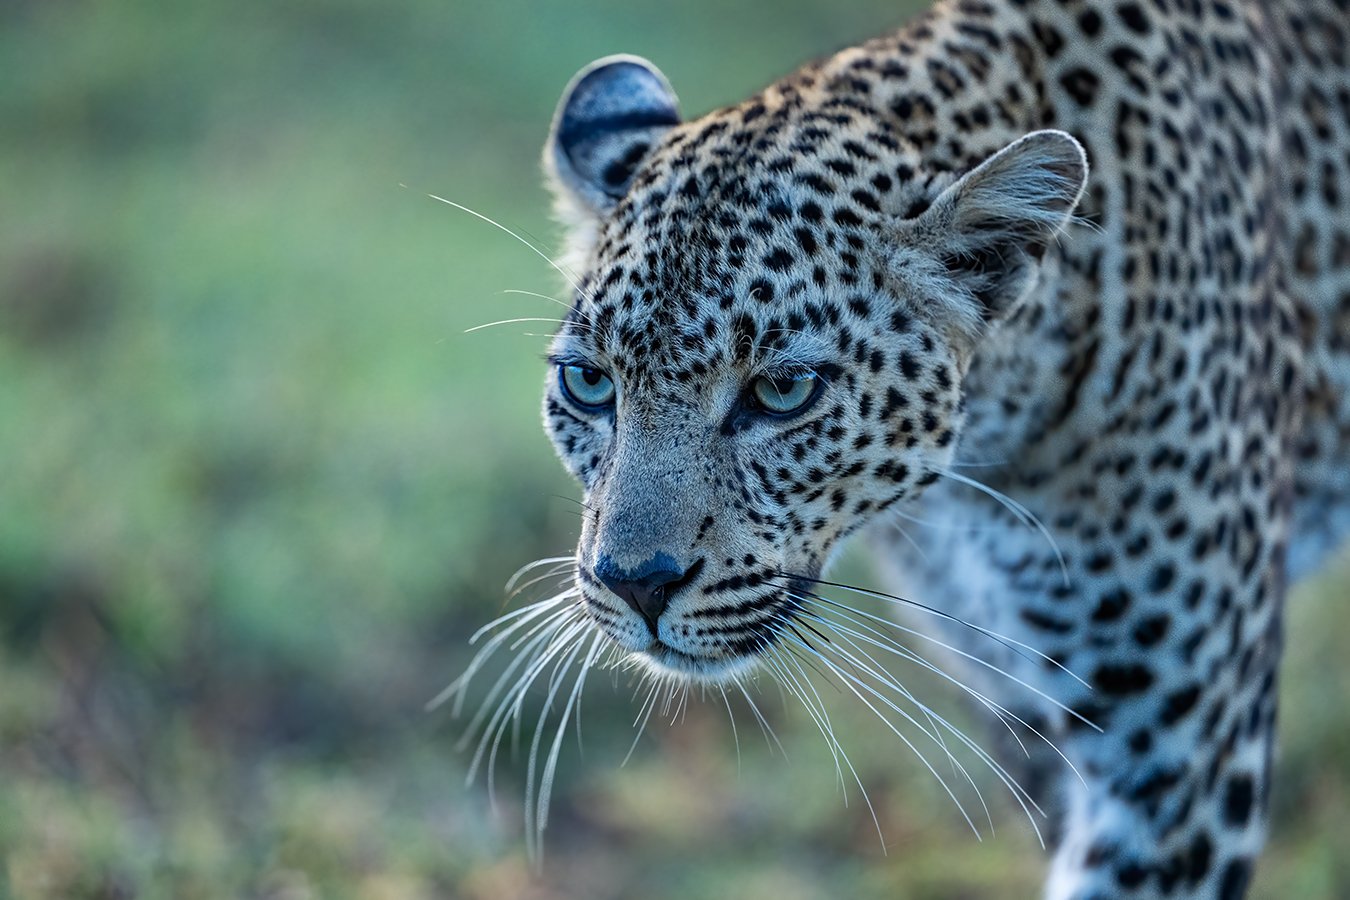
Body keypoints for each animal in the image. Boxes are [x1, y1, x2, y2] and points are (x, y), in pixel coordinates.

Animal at [453, 1, 1350, 897]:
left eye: (783, 390)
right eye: (588, 383)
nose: (635, 584)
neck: (983, 474)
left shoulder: (1177, 748)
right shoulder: (1030, 704)